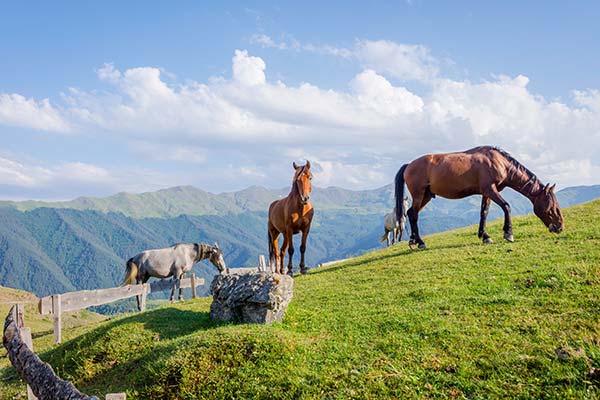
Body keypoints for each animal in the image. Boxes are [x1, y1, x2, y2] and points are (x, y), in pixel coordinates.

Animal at [396, 145, 564, 248]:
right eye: (552, 207)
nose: (560, 226)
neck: (498, 162)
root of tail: (409, 165)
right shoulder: (490, 189)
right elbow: (506, 206)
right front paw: (508, 233)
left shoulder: (486, 193)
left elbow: (484, 213)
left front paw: (485, 236)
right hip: (419, 194)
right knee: (414, 215)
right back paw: (420, 242)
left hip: (427, 195)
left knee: (411, 213)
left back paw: (413, 240)